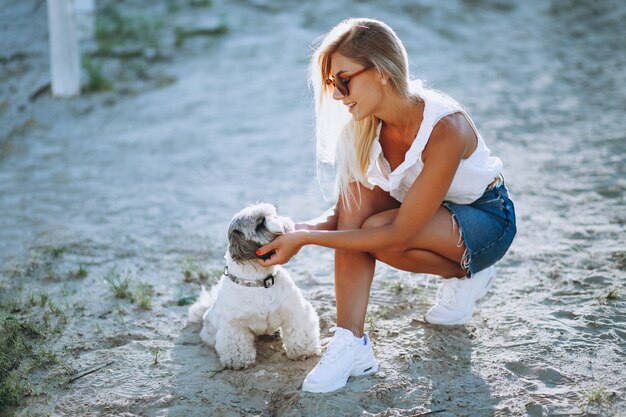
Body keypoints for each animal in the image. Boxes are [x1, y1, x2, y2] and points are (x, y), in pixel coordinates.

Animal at [188, 202, 320, 368]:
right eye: (260, 223)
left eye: (272, 213)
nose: (279, 218)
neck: (258, 281)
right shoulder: (234, 324)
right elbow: (236, 342)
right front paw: (238, 360)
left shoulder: (295, 311)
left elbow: (299, 332)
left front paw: (303, 351)